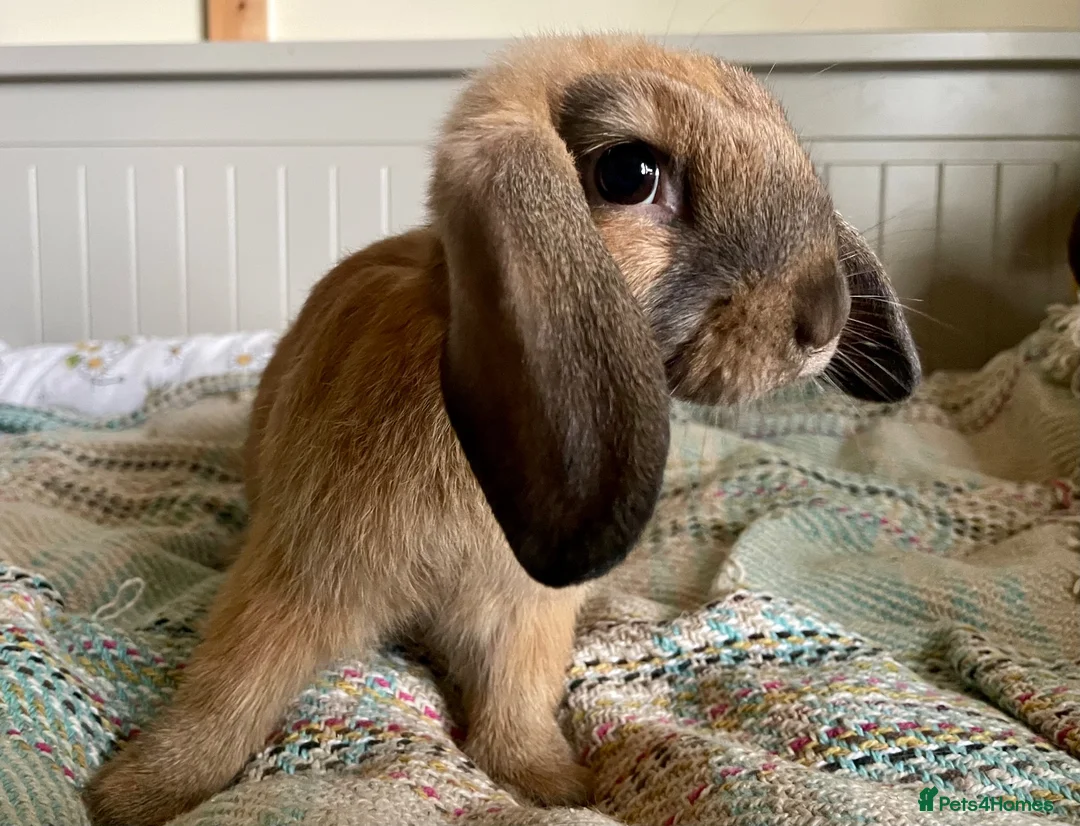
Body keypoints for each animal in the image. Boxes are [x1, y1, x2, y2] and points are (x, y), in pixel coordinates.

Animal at [83, 34, 919, 826]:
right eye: (630, 173)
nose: (825, 321)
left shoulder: (523, 617)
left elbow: (517, 702)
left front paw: (553, 782)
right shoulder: (295, 579)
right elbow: (229, 691)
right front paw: (135, 796)